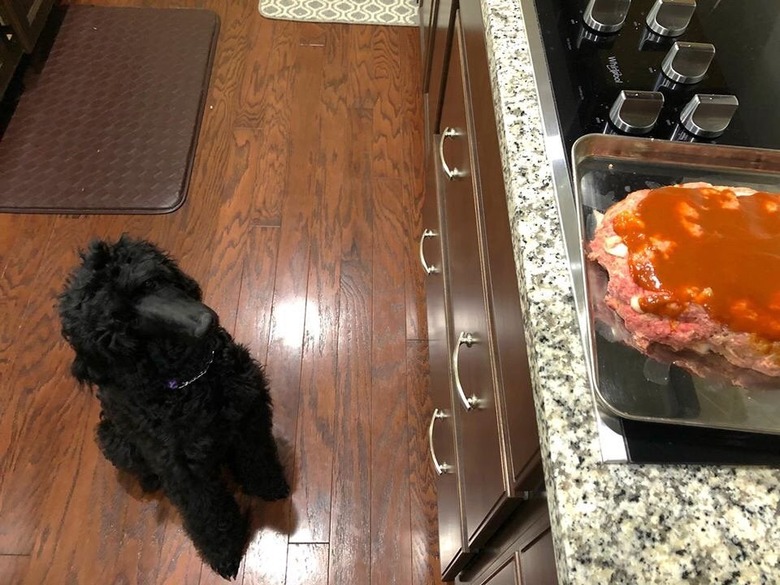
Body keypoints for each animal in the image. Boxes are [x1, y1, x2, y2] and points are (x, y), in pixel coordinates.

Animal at [58, 235, 290, 576]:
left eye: (151, 282)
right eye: (125, 322)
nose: (205, 323)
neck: (191, 381)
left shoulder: (249, 414)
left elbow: (257, 459)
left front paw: (269, 487)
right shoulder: (183, 470)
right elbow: (207, 513)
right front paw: (224, 551)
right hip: (115, 442)